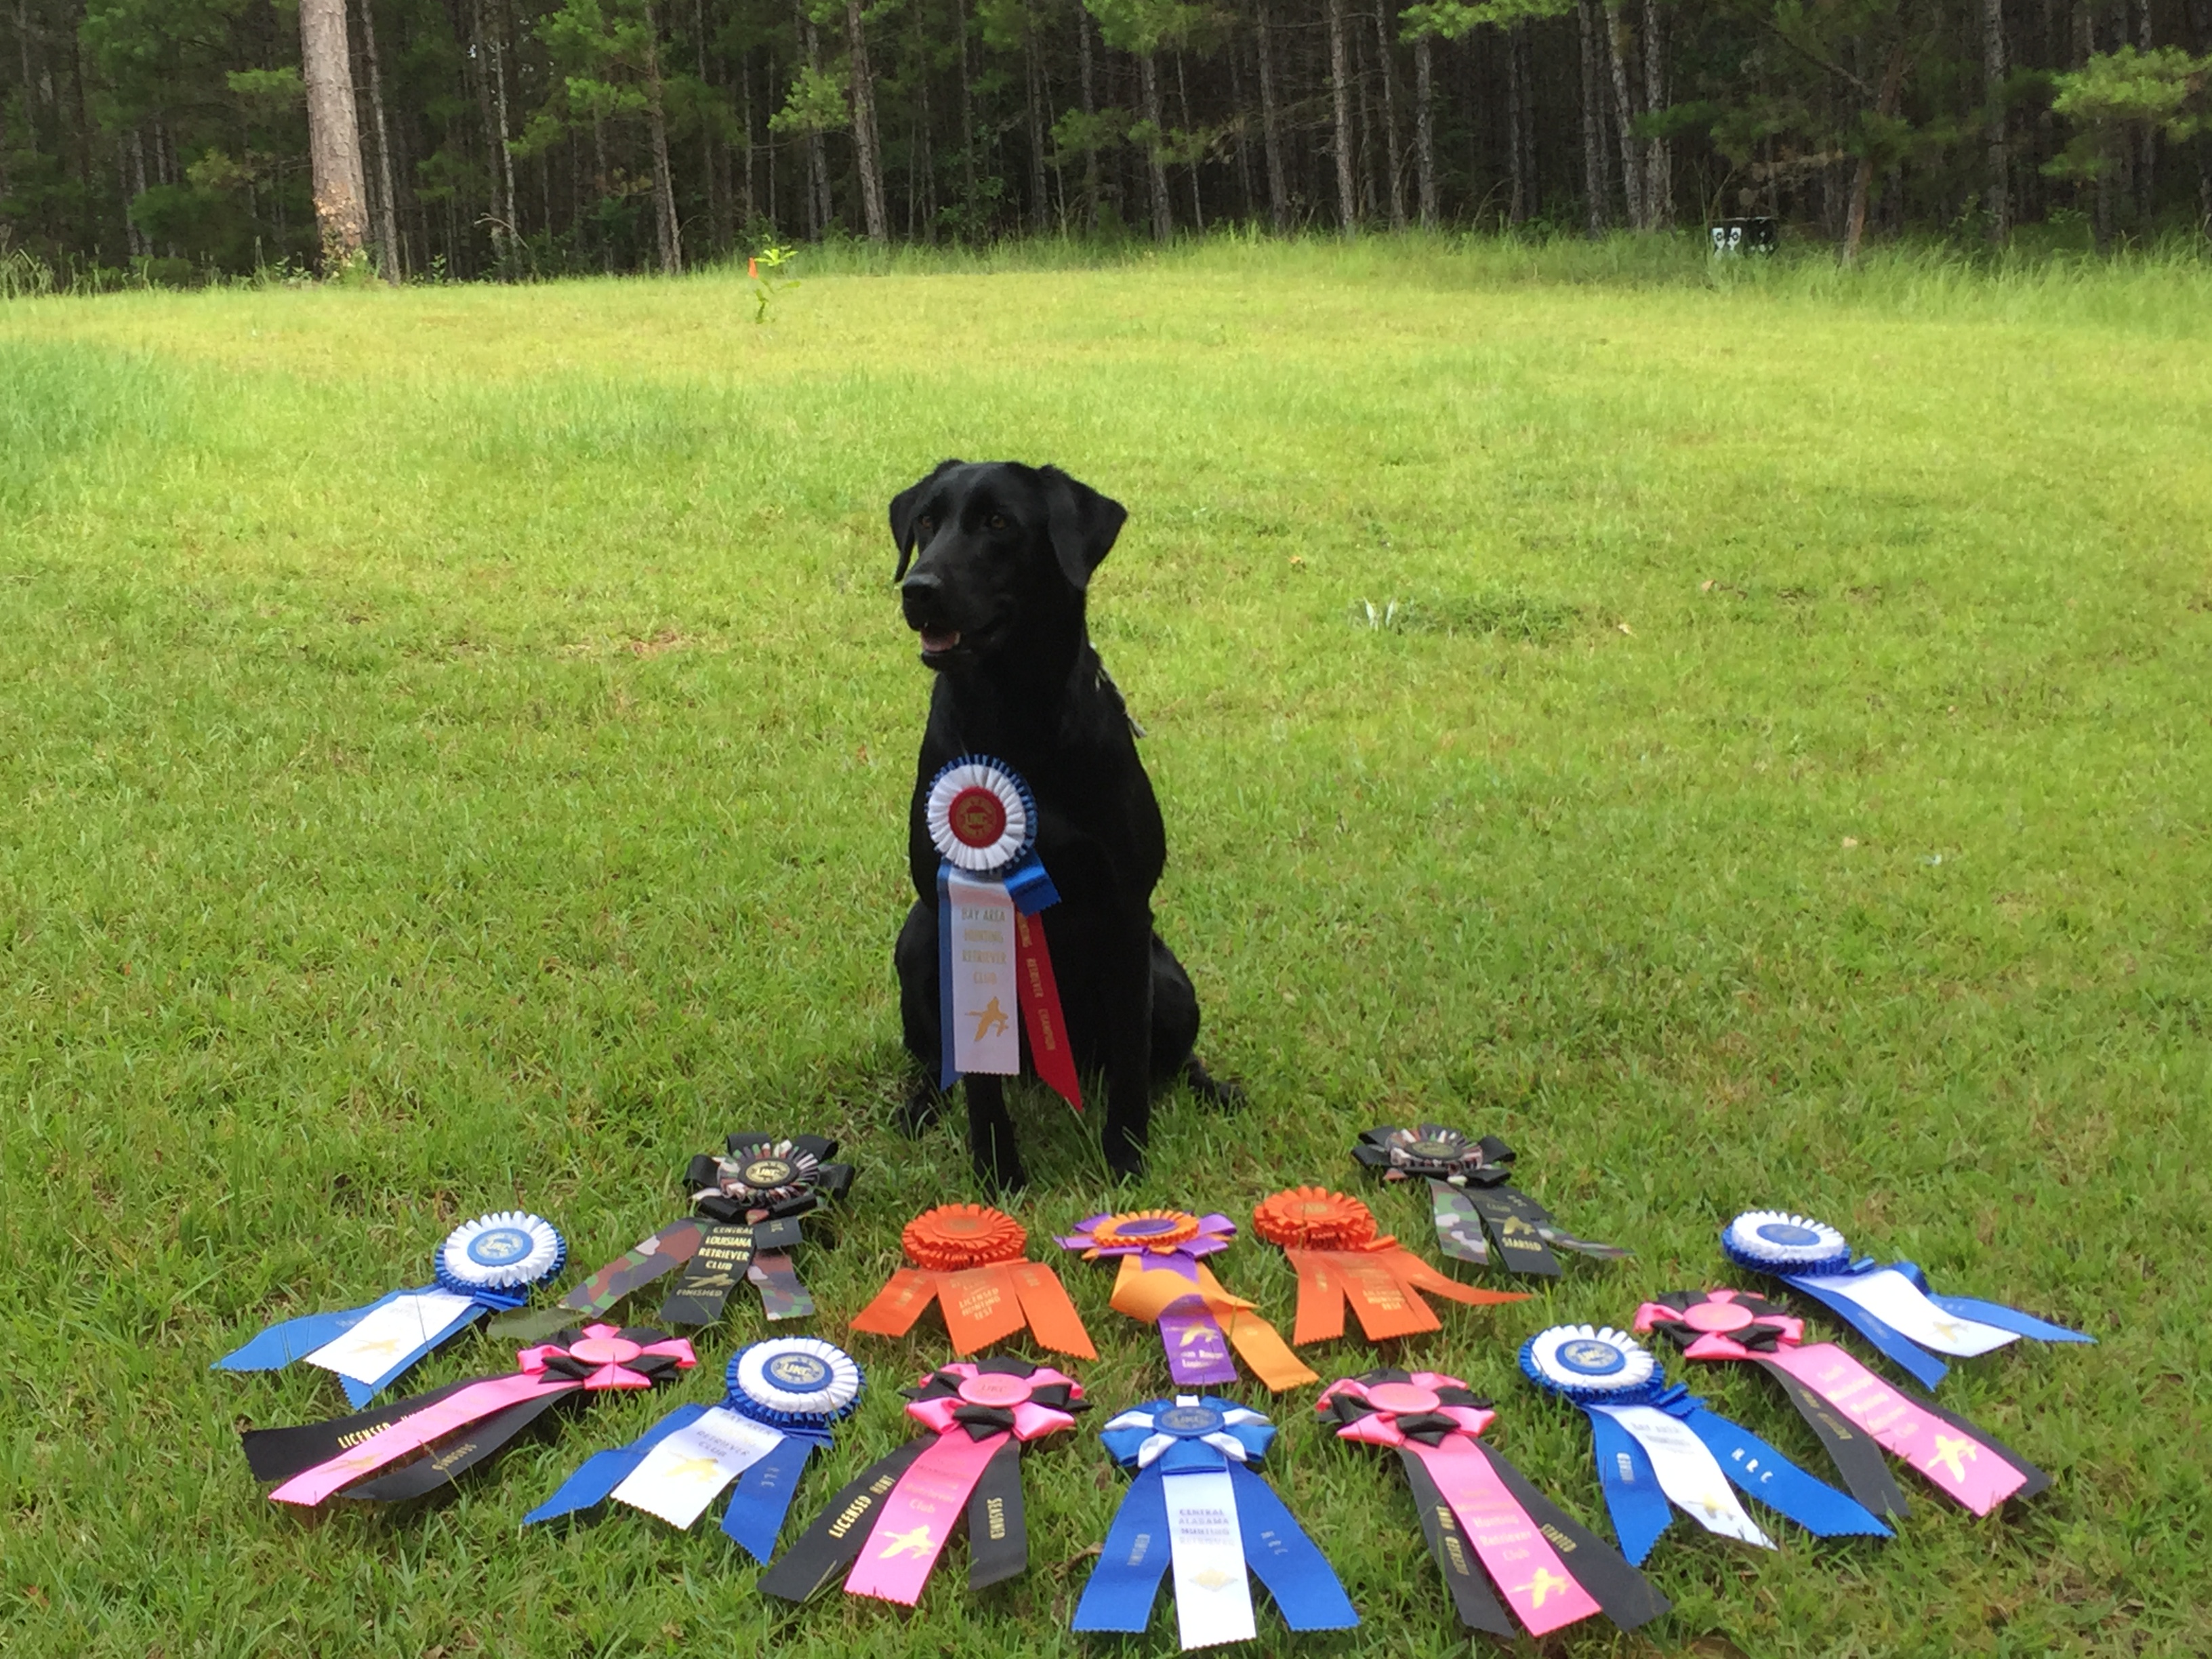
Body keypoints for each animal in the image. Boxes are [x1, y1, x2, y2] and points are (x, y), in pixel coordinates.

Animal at [898, 464, 1247, 1194]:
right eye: (925, 523)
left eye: (999, 523)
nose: (917, 589)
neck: (1018, 720)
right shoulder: (958, 914)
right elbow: (980, 1083)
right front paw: (996, 1175)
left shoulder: (1125, 912)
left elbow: (1134, 1065)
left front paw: (1127, 1161)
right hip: (915, 940)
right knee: (939, 1063)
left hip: (1170, 981)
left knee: (1168, 1058)